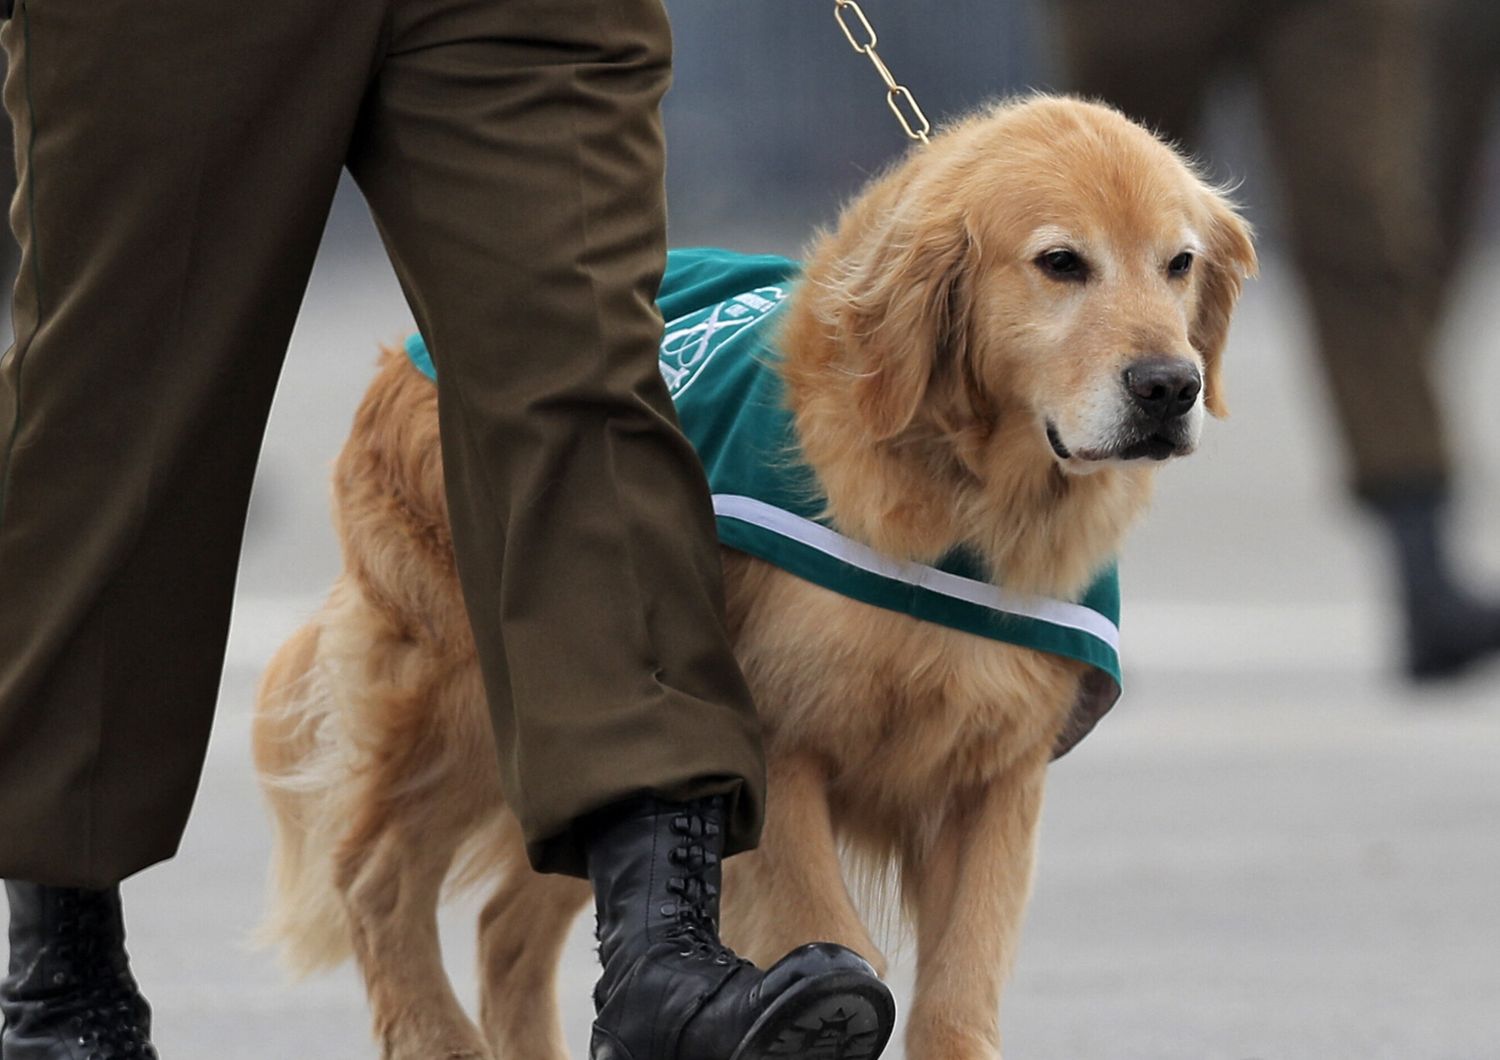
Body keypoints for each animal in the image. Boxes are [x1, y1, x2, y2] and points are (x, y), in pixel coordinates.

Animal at [255, 95, 1254, 1055]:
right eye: (1060, 262)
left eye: (1179, 263)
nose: (1171, 386)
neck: (965, 501)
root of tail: (418, 348)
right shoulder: (780, 747)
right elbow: (828, 926)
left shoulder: (994, 780)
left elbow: (958, 997)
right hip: (483, 702)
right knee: (375, 878)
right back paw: (438, 1037)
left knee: (505, 926)